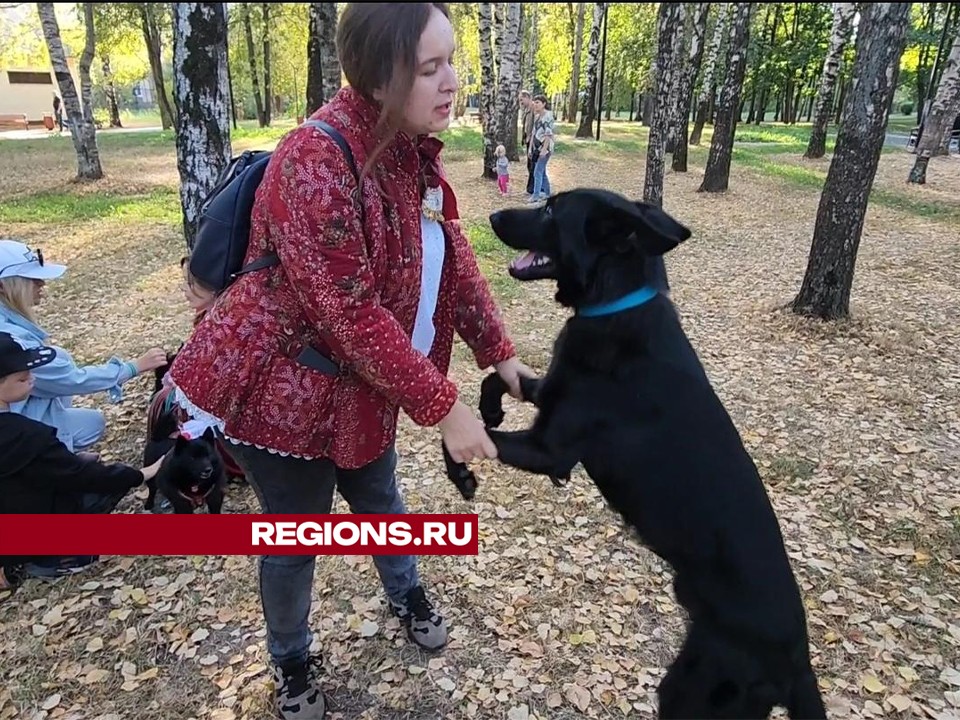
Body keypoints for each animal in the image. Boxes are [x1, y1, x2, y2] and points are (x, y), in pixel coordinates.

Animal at [488, 190, 824, 720]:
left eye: (551, 210)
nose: (492, 215)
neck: (614, 305)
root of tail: (798, 661)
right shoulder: (548, 394)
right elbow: (496, 379)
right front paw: (489, 404)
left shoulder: (549, 449)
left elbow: (478, 435)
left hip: (693, 689)